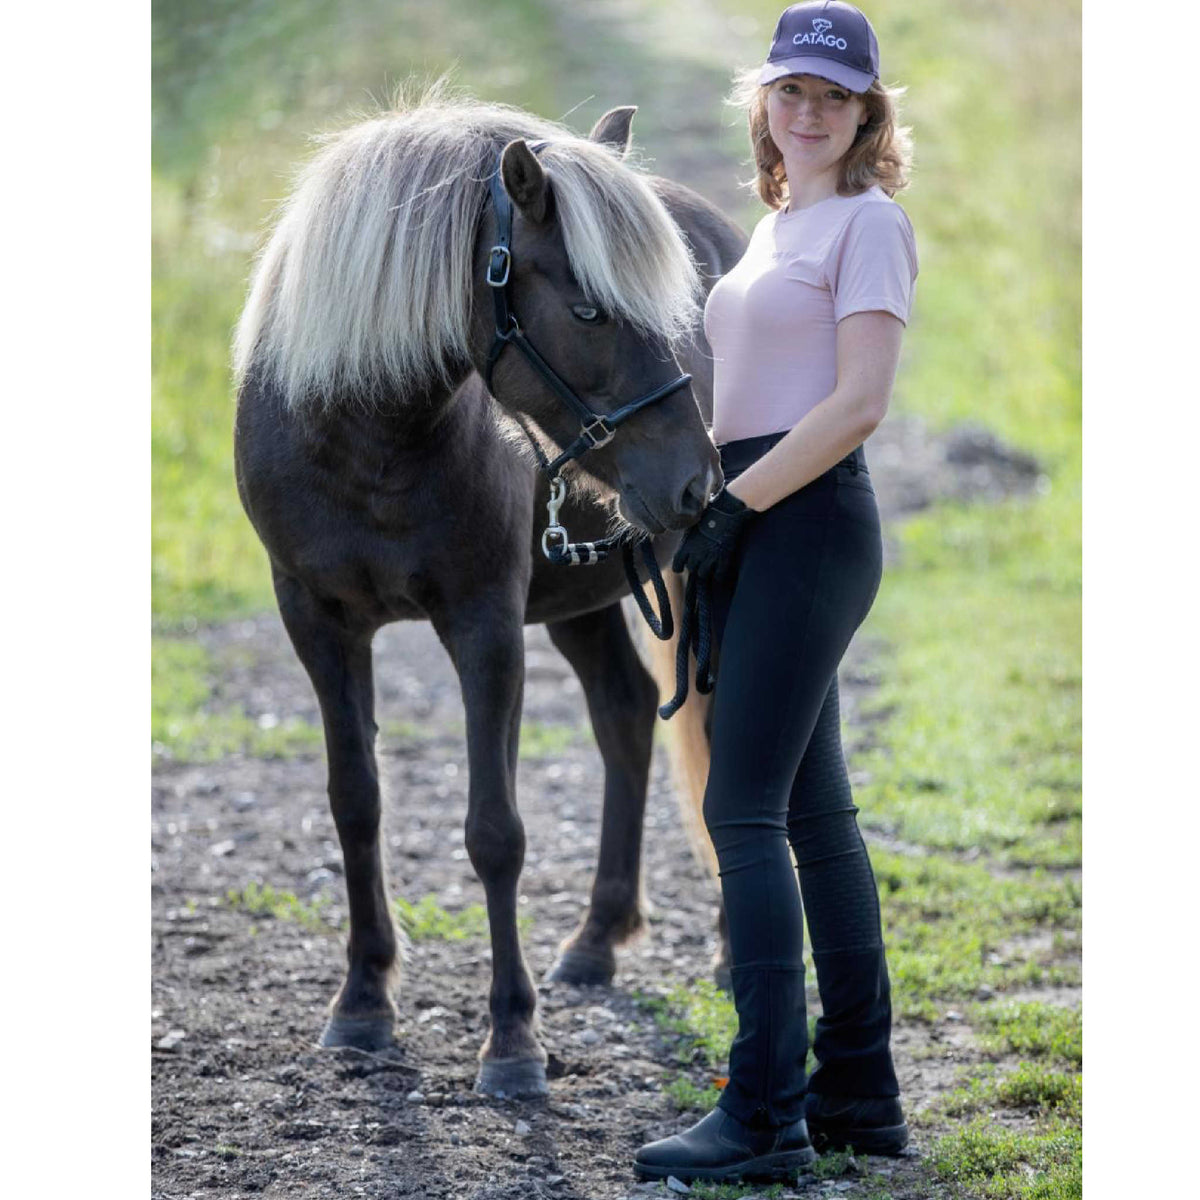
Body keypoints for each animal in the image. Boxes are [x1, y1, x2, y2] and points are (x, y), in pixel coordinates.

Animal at [233, 89, 747, 1099]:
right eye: (588, 308)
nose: (694, 480)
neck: (369, 439)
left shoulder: (484, 627)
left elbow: (495, 832)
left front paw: (511, 1040)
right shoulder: (316, 621)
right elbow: (355, 803)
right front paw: (363, 1001)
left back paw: (720, 947)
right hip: (586, 595)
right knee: (626, 713)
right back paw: (596, 939)